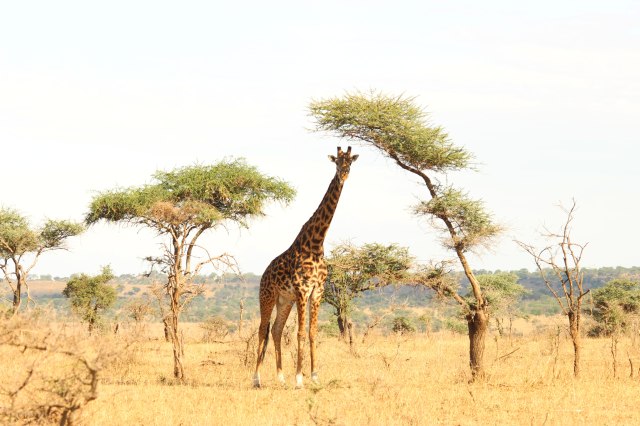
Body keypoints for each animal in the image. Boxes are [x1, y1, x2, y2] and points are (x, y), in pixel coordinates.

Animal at [253, 146, 359, 388]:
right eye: (337, 162)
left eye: (350, 163)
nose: (344, 175)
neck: (316, 243)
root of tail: (263, 274)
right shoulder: (303, 289)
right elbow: (300, 333)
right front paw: (300, 379)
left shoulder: (317, 290)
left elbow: (312, 333)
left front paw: (314, 376)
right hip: (268, 296)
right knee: (263, 330)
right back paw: (256, 379)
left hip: (285, 300)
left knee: (276, 330)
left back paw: (281, 378)